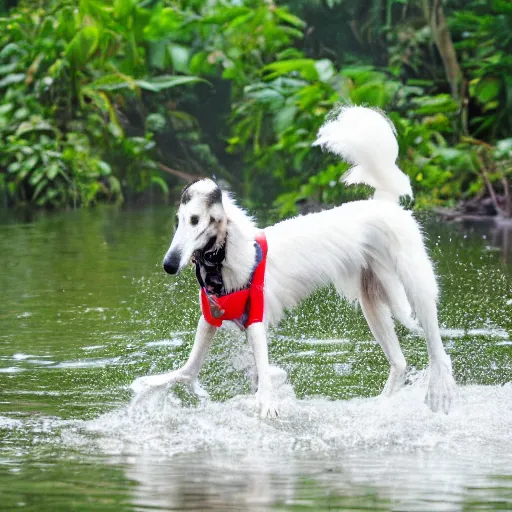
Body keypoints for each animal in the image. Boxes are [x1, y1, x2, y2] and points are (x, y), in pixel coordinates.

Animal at [131, 106, 456, 418]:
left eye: (196, 220)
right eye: (178, 222)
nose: (169, 264)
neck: (224, 260)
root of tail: (383, 203)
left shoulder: (256, 318)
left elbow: (262, 372)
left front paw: (267, 402)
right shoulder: (210, 319)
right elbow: (188, 371)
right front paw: (152, 386)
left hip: (415, 281)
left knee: (438, 350)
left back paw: (438, 390)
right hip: (371, 299)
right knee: (399, 362)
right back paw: (382, 405)